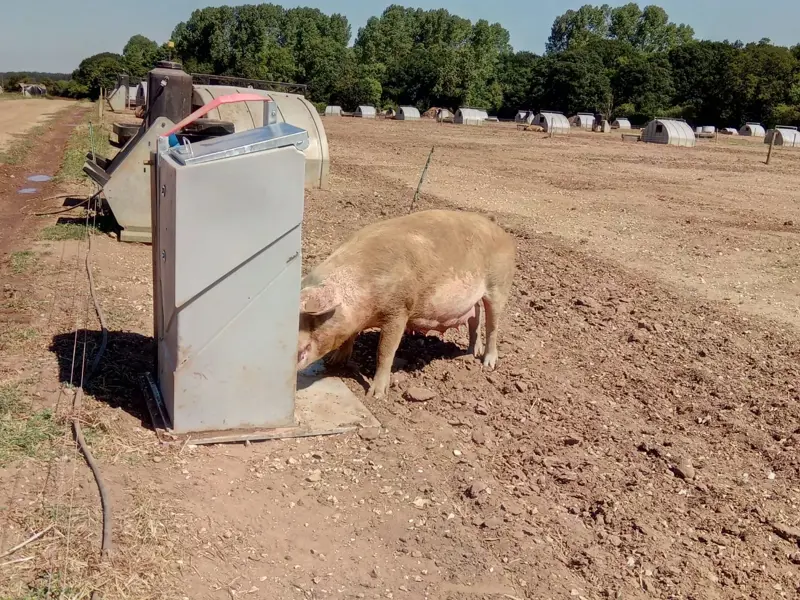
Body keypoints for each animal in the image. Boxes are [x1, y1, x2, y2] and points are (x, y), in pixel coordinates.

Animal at [297, 209, 516, 399]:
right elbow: (349, 338)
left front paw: (376, 395)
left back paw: (488, 363)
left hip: (499, 285)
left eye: (309, 318)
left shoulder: (399, 310)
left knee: (492, 325)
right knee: (475, 317)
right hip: (473, 299)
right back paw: (471, 352)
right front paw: (335, 361)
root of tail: (499, 230)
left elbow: (385, 351)